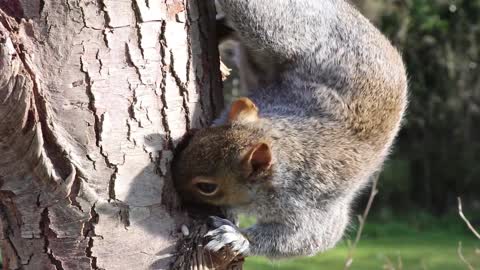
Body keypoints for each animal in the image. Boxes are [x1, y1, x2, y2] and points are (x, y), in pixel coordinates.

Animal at [172, 0, 404, 258]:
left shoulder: (310, 204)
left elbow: (308, 238)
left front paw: (237, 237)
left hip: (282, 31)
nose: (172, 182)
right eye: (195, 139)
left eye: (207, 187)